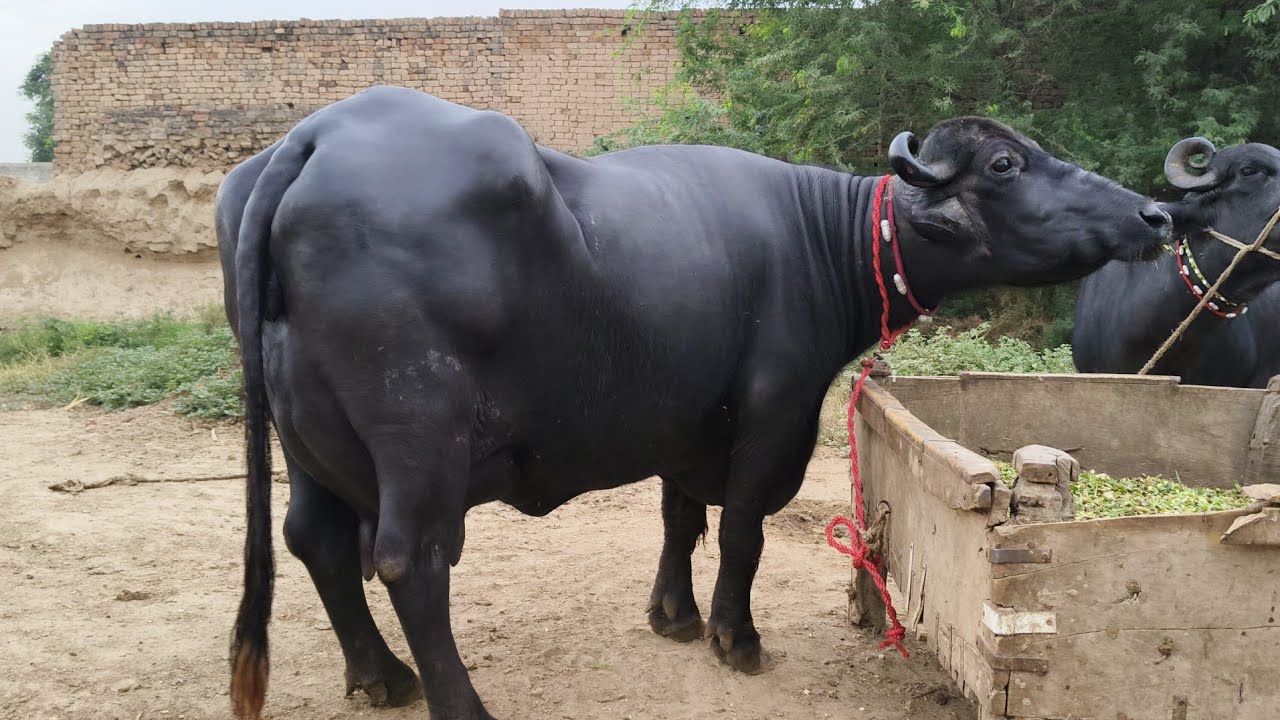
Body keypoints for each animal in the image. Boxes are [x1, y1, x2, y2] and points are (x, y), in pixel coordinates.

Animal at [215, 86, 1170, 719]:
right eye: (1008, 164)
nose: (1155, 215)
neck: (813, 240)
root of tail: (313, 139)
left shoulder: (682, 416)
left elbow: (680, 516)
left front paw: (671, 614)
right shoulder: (775, 410)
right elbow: (742, 529)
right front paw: (733, 635)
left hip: (308, 442)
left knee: (315, 539)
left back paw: (380, 675)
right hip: (420, 438)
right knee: (409, 560)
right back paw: (461, 704)